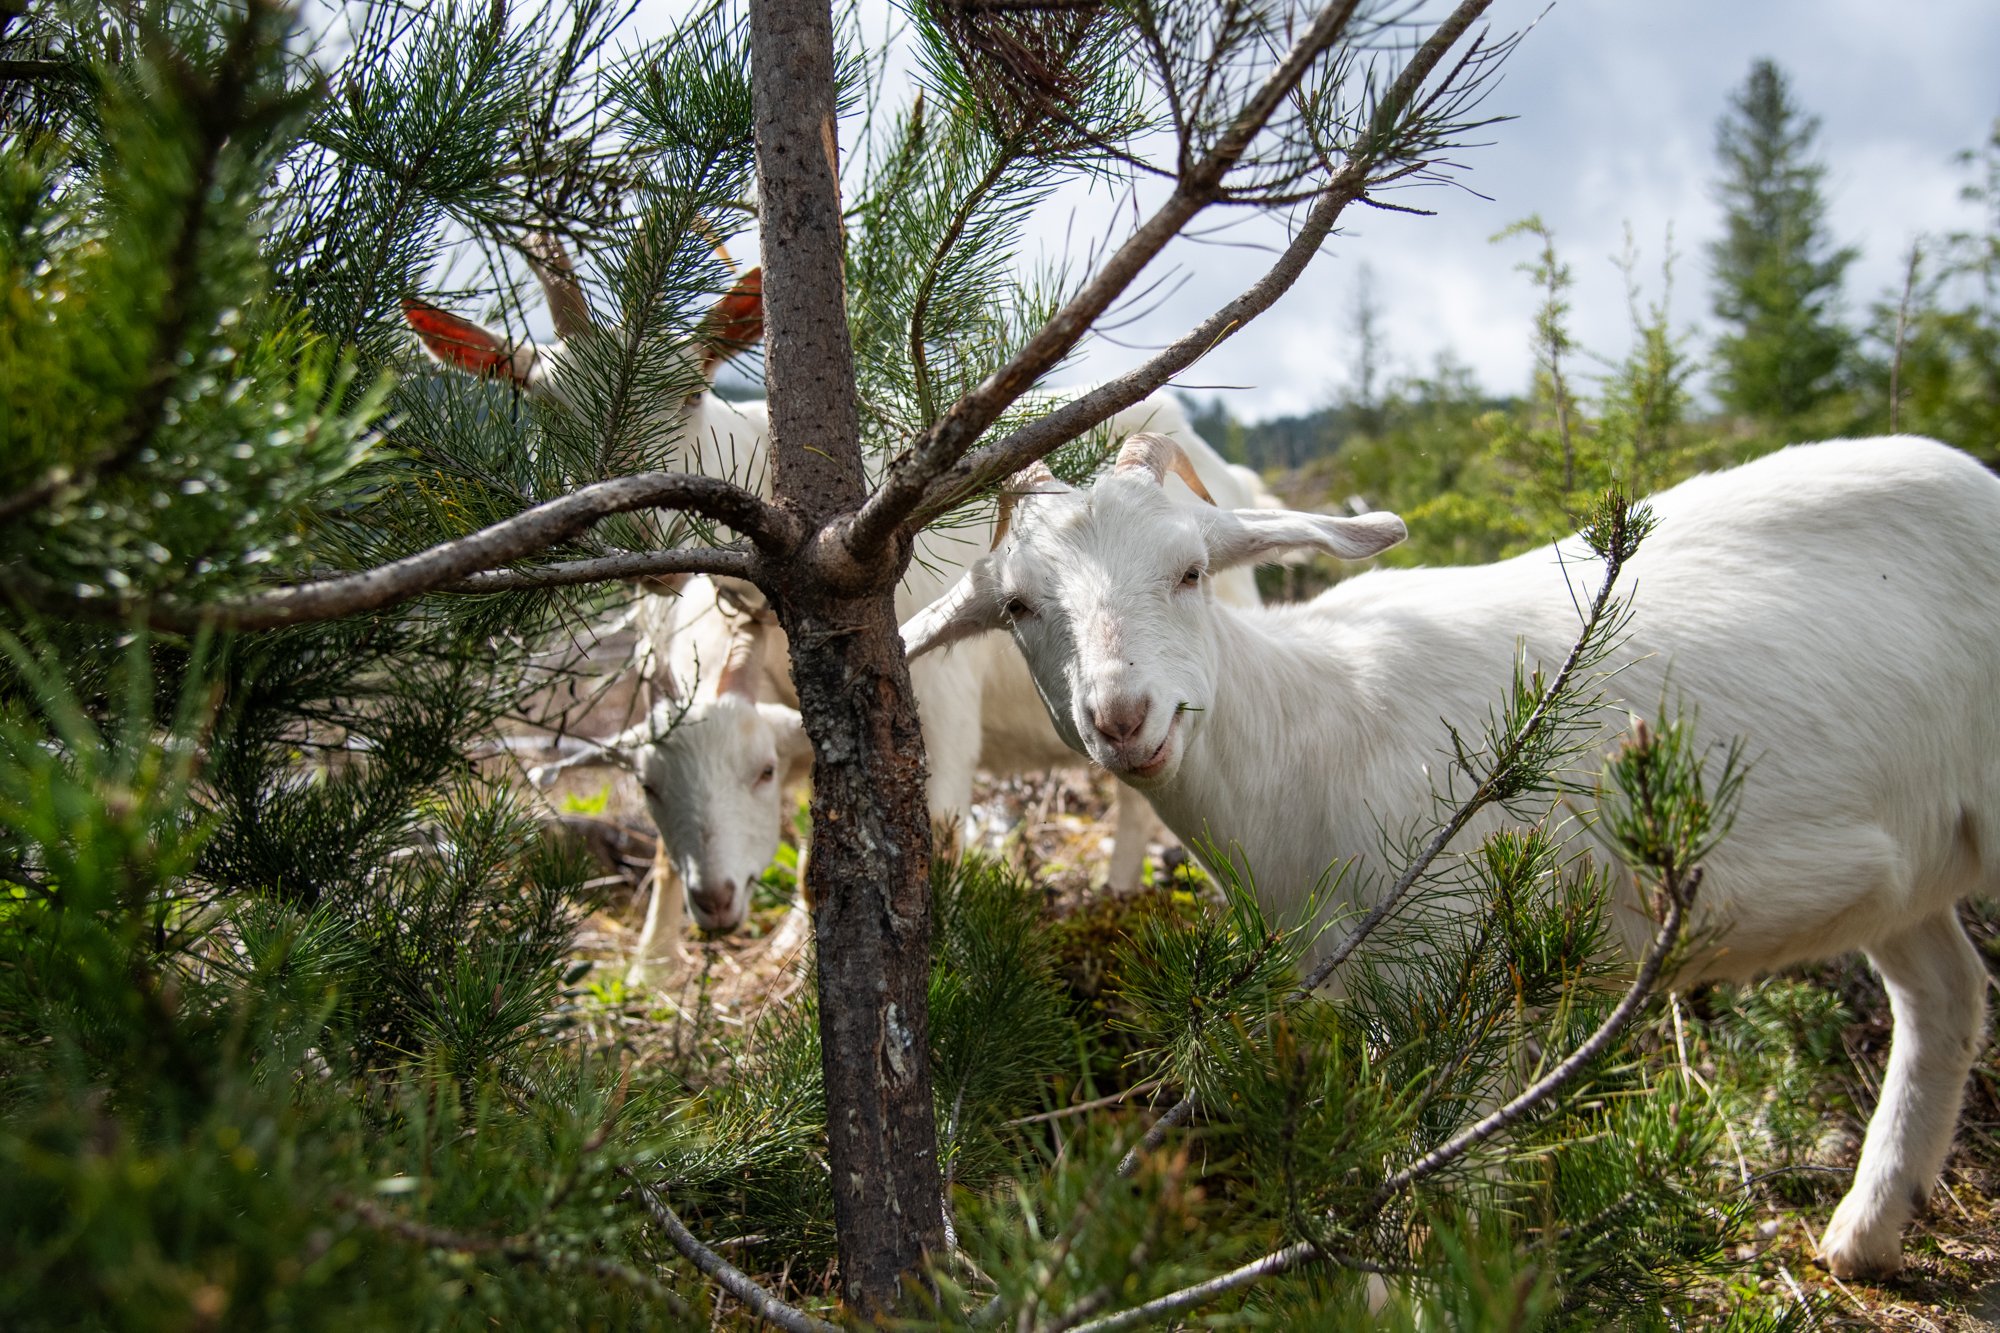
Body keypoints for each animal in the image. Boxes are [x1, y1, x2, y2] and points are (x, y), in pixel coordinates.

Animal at [902, 431, 2000, 1279]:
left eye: (1190, 570)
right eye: (1017, 607)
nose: (1122, 716)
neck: (1306, 732)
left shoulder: (1459, 973)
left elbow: (1447, 1195)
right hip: (1898, 868)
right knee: (1944, 993)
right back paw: (1865, 1232)